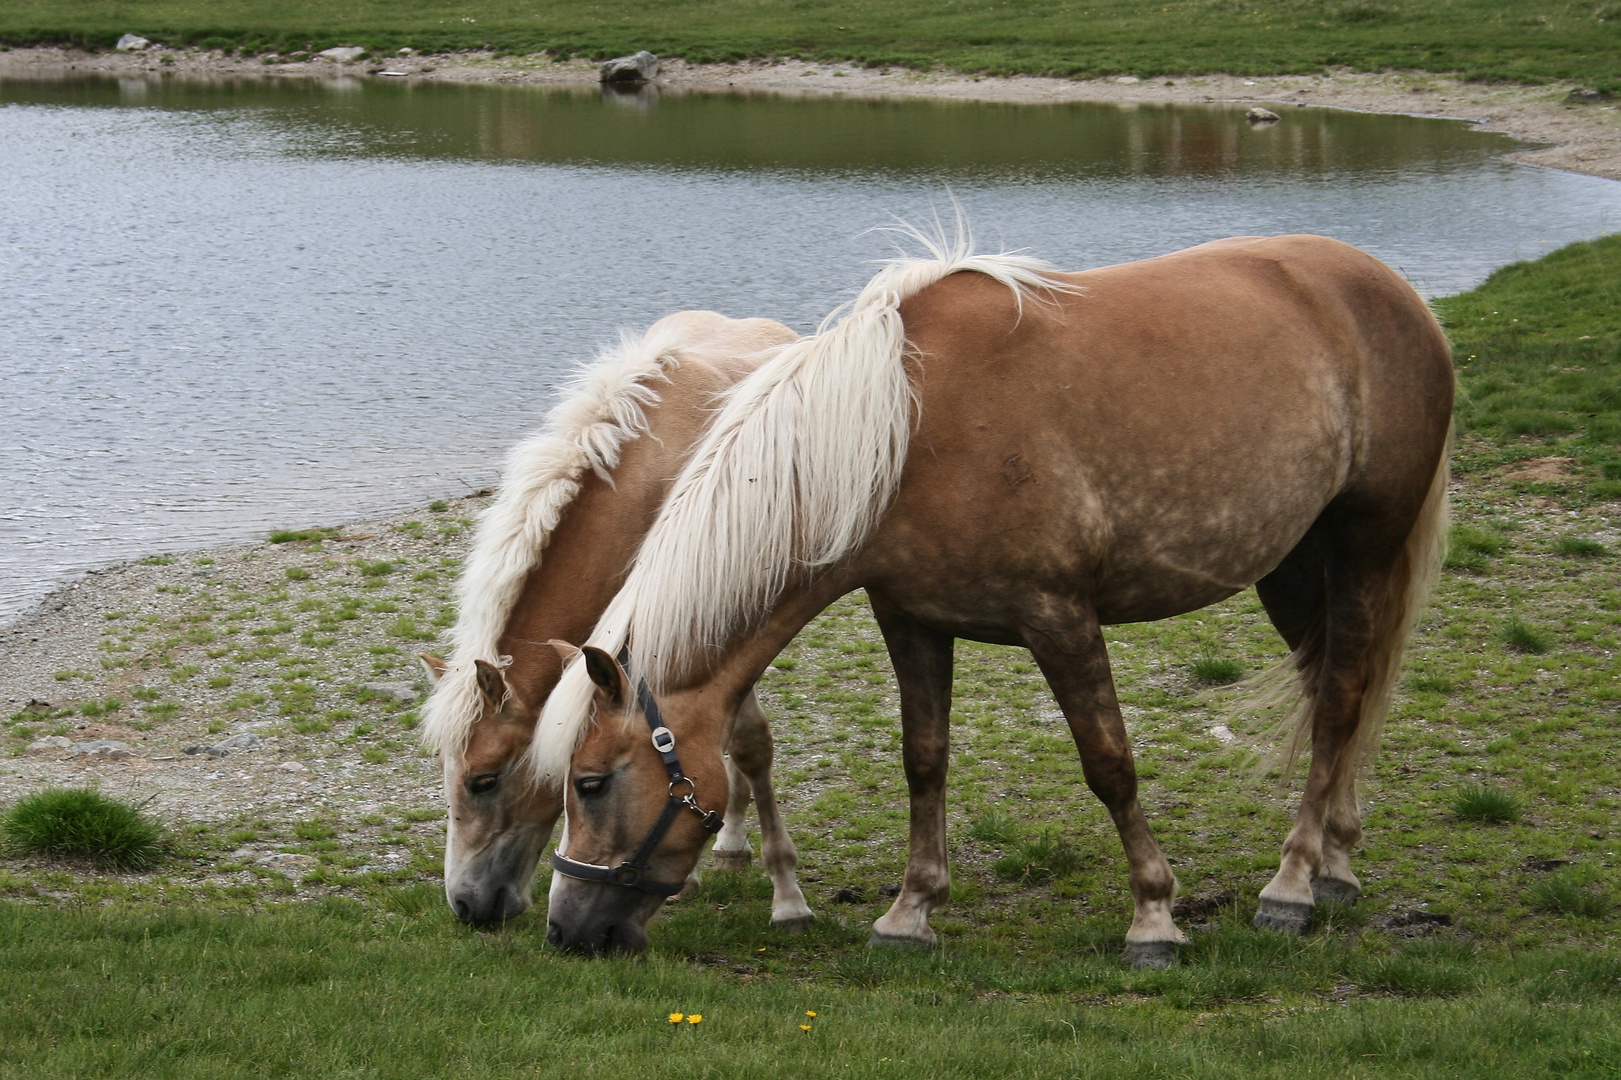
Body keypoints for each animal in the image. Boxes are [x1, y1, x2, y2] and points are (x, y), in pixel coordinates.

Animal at [538, 228, 1452, 960]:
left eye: (589, 783)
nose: (565, 929)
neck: (903, 434)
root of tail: (1389, 289)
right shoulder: (910, 620)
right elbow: (924, 760)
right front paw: (909, 913)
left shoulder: (1060, 618)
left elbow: (1108, 764)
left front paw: (1152, 917)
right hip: (1294, 568)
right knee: (1331, 687)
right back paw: (1334, 861)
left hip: (1364, 547)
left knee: (1338, 702)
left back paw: (1291, 884)